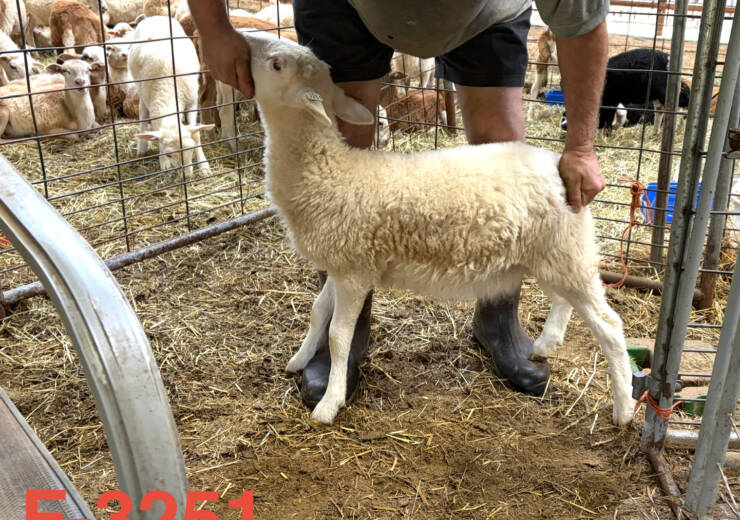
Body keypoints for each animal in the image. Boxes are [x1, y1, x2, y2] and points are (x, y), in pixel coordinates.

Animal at [129, 16, 212, 177]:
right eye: (169, 154)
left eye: (191, 150)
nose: (187, 176)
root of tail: (153, 17)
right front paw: (164, 162)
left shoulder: (192, 103)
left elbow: (196, 134)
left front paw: (204, 166)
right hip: (141, 91)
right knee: (142, 115)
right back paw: (142, 147)